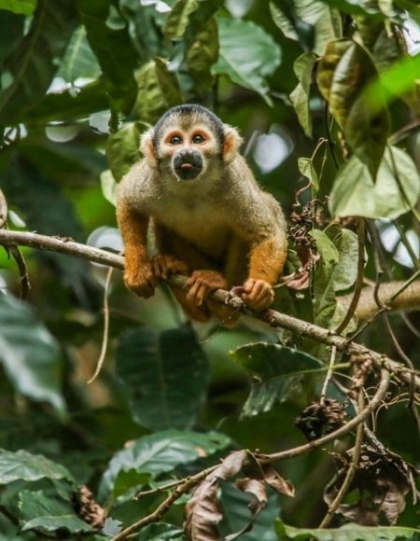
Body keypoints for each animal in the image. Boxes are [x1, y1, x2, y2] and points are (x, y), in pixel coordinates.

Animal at [116, 104, 288, 320]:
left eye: (198, 139)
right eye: (175, 141)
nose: (186, 152)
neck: (192, 187)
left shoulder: (234, 181)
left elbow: (267, 232)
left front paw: (260, 288)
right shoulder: (152, 177)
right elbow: (127, 199)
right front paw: (137, 270)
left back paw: (218, 290)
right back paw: (172, 268)